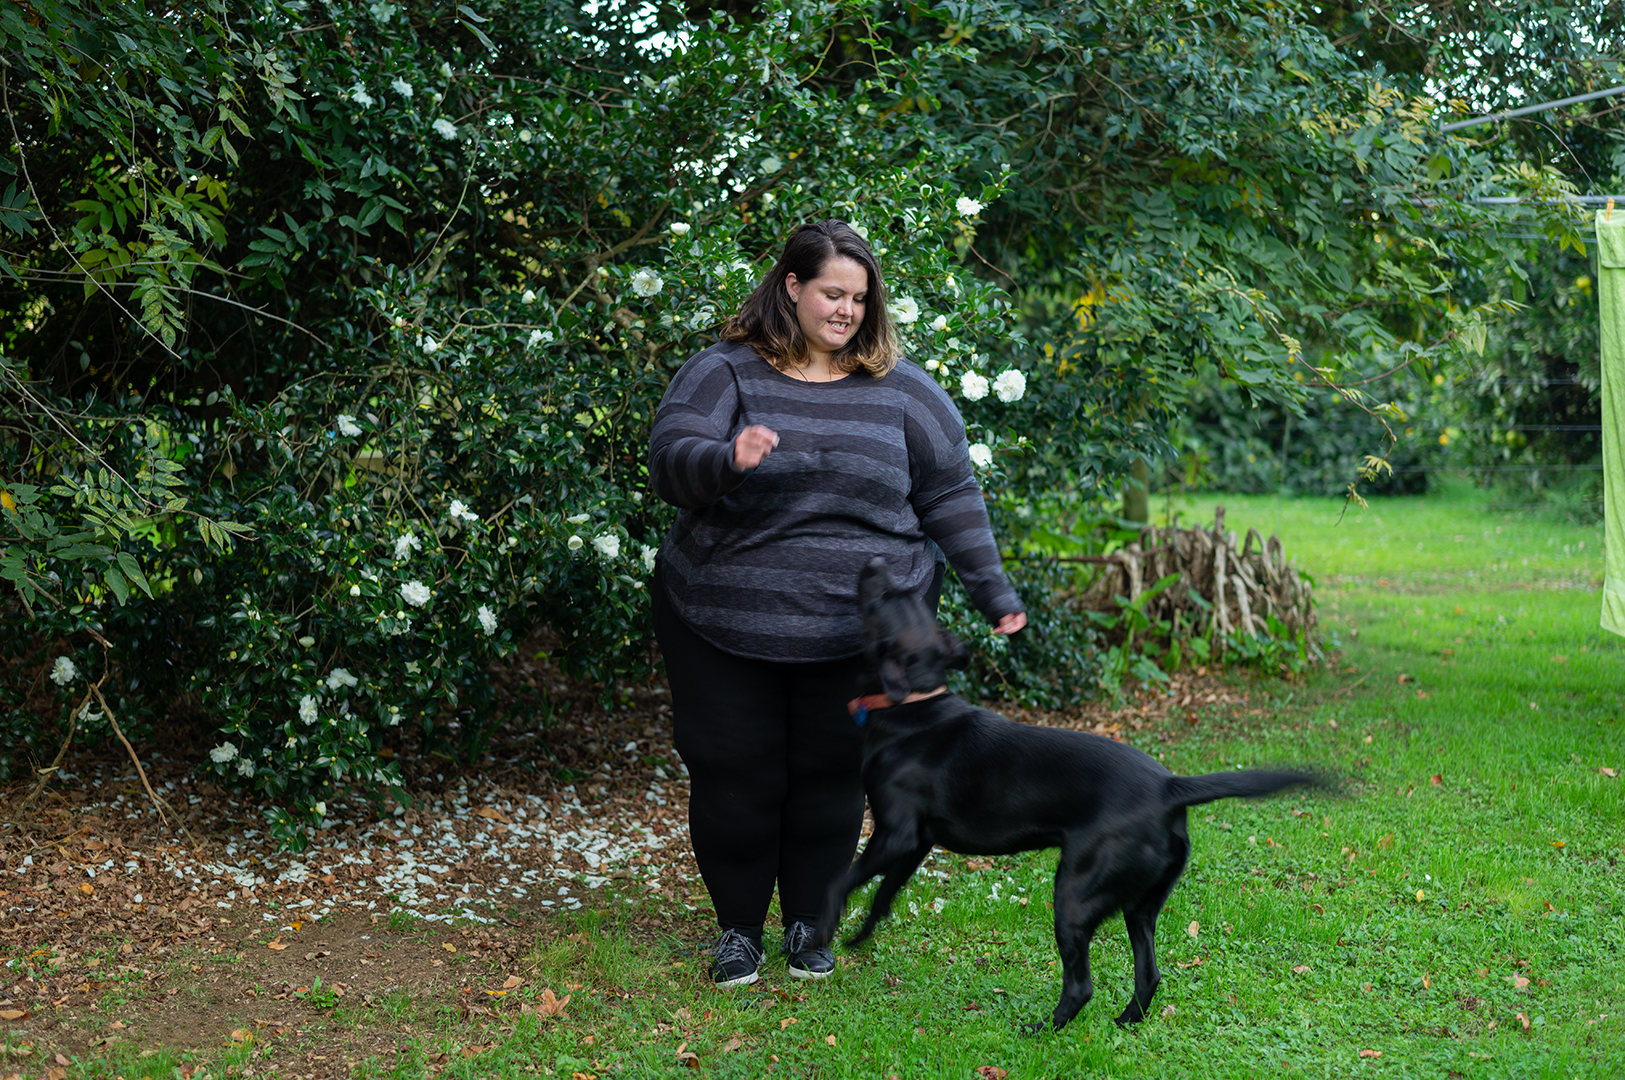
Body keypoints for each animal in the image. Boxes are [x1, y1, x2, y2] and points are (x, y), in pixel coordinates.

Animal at [819, 558, 1326, 1032]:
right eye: (899, 595)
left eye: (886, 599)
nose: (876, 564)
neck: (915, 702)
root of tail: (1170, 787)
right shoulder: (917, 843)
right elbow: (883, 894)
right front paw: (858, 937)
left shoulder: (897, 834)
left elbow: (842, 880)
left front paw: (826, 927)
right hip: (1140, 906)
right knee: (1150, 974)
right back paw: (1125, 1021)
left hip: (1074, 897)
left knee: (1082, 985)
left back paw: (1040, 1029)